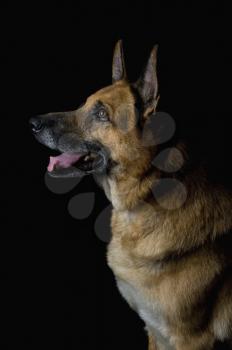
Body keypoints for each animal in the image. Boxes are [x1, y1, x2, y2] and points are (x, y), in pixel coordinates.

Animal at [29, 41, 232, 350]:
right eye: (83, 104)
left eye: (101, 114)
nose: (33, 123)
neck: (145, 194)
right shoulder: (154, 331)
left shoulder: (192, 340)